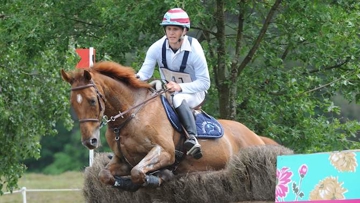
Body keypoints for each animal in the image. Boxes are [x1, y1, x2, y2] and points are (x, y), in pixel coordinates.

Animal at [61, 61, 276, 191]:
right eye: (73, 104)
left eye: (91, 101)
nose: (90, 141)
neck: (130, 116)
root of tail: (255, 136)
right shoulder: (123, 160)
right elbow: (105, 175)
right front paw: (124, 183)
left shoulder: (164, 151)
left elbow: (138, 173)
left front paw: (156, 177)